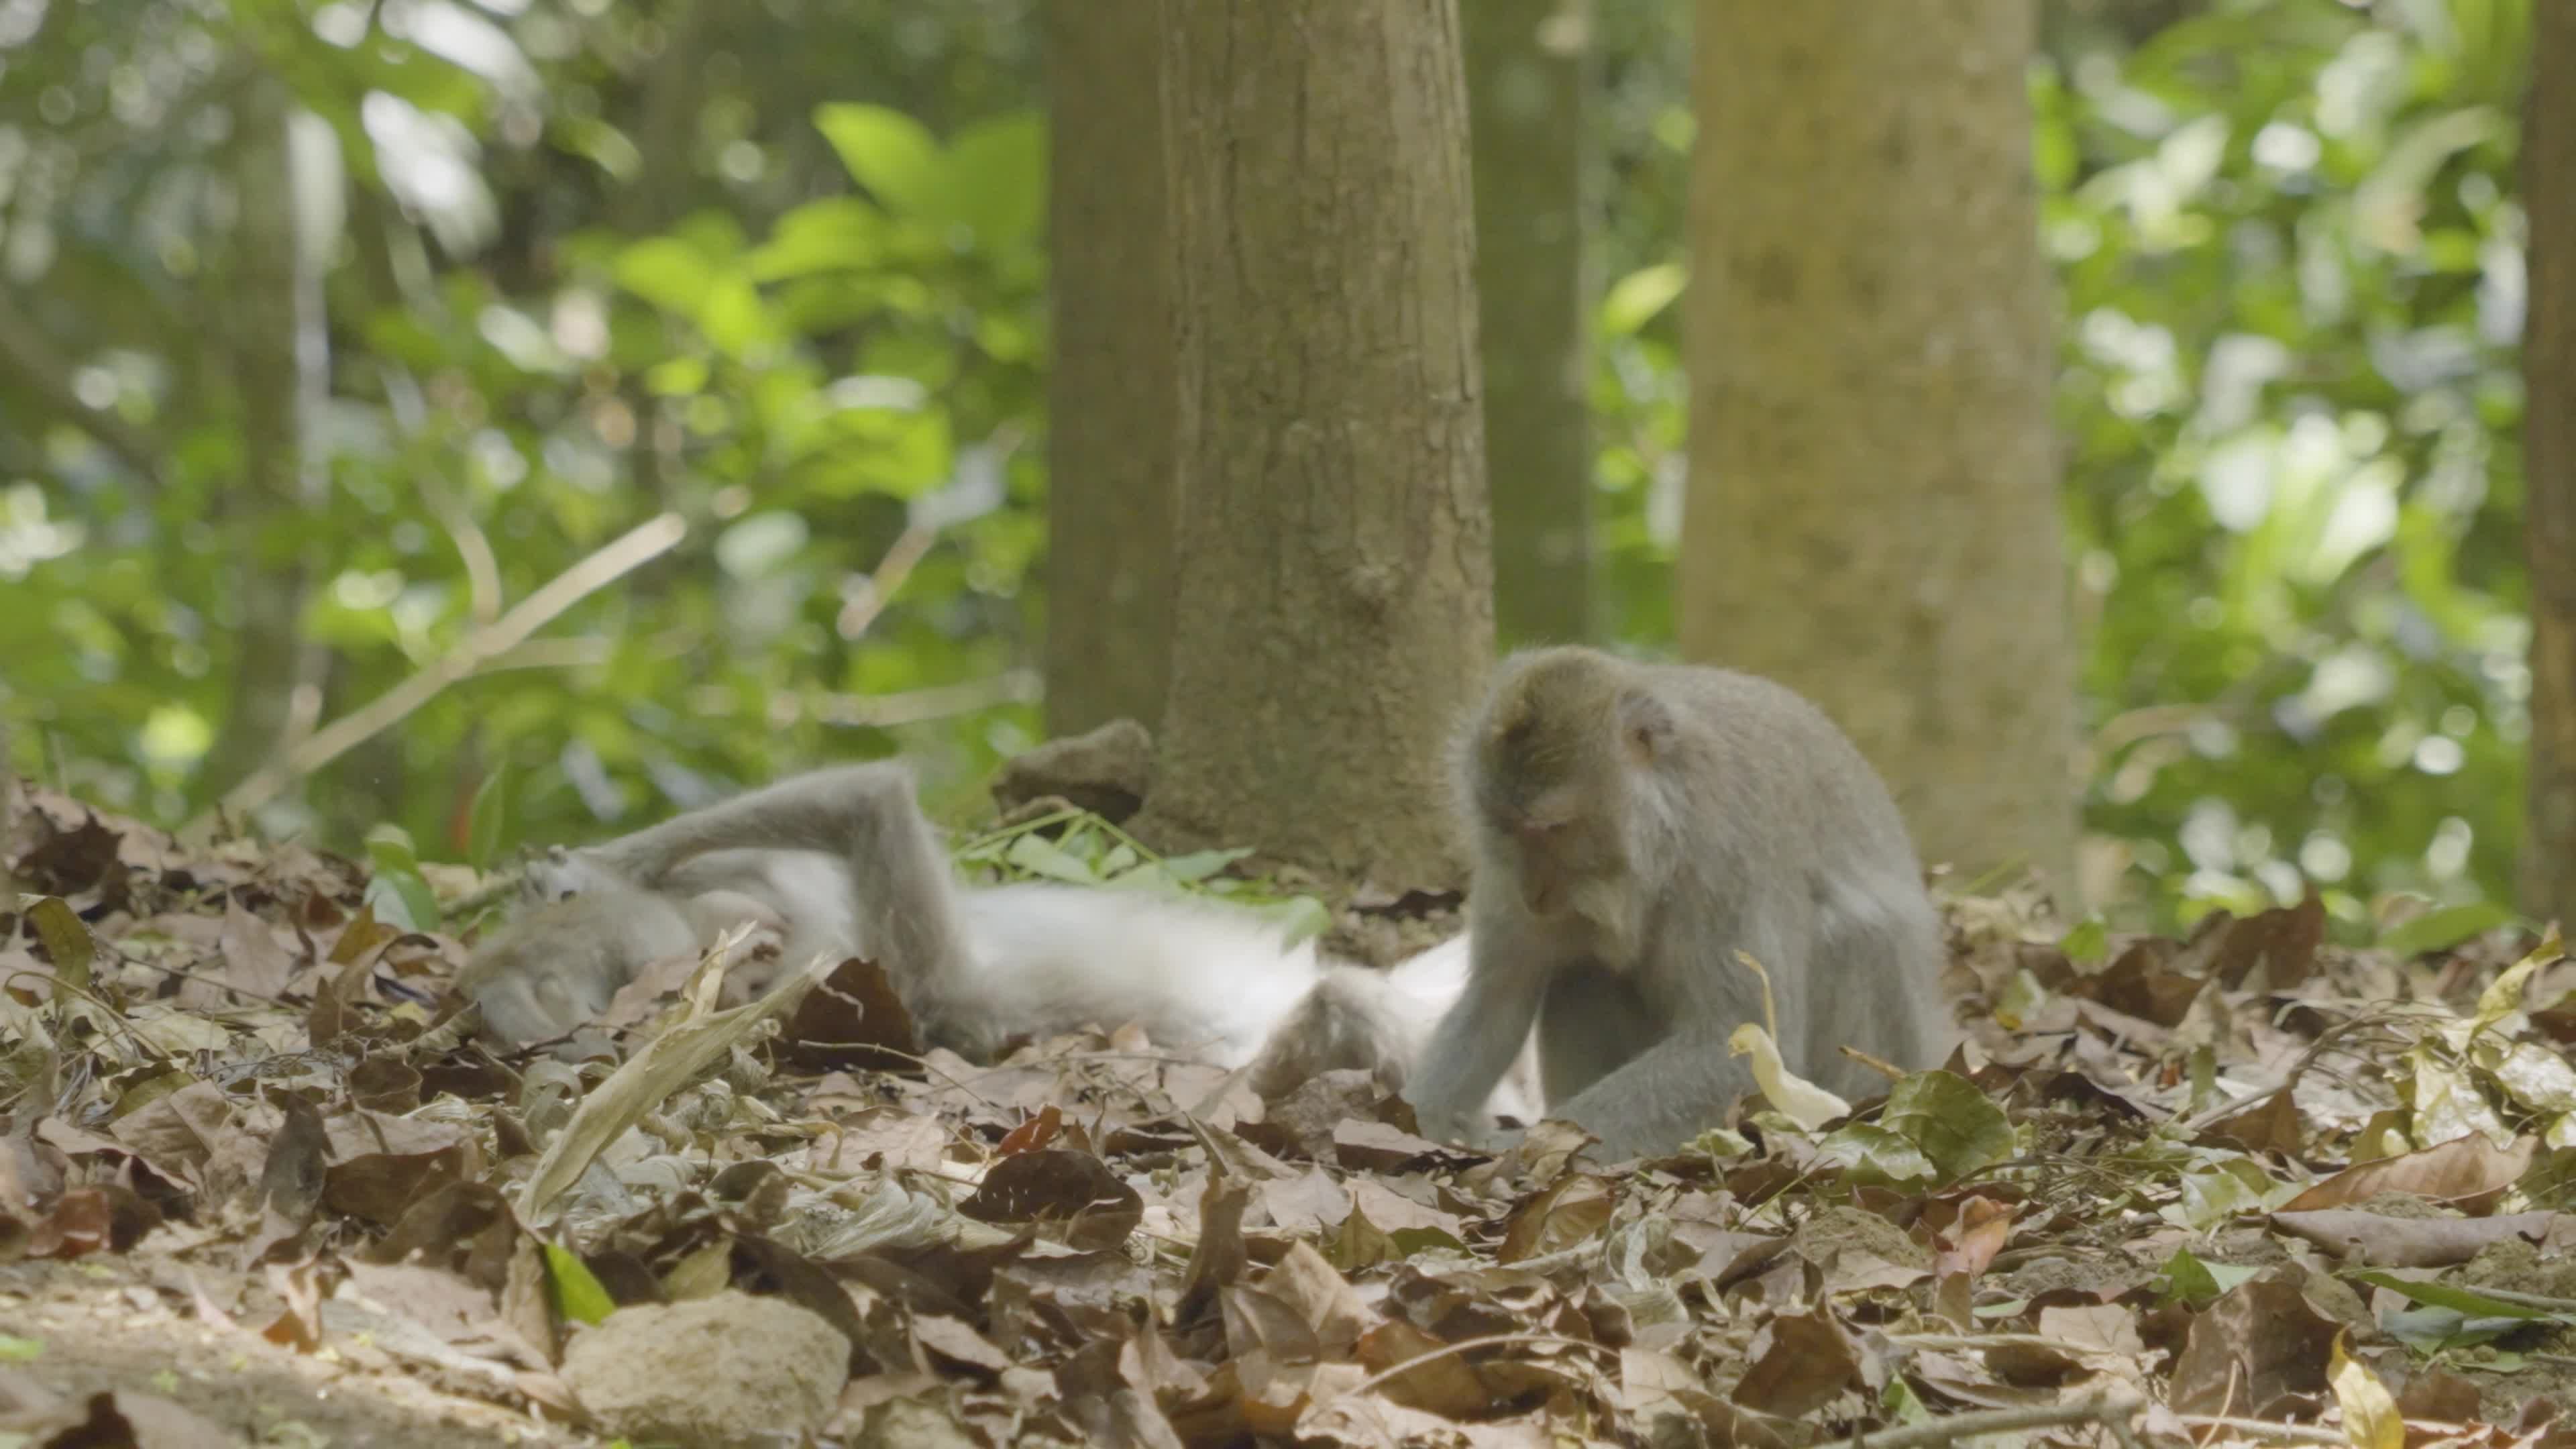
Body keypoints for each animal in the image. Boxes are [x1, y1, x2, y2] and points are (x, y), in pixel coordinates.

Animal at [1404, 646, 1955, 1161]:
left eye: (1554, 830)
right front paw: (1419, 1120)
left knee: (1858, 936)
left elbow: (1741, 1048)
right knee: (1579, 974)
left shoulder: (1728, 855)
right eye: (1507, 828)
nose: (1534, 894)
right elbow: (1497, 999)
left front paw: (1521, 1148)